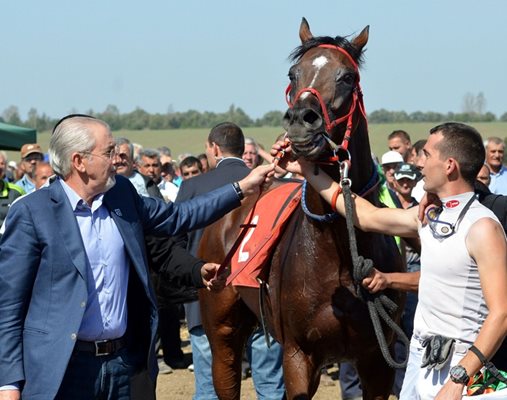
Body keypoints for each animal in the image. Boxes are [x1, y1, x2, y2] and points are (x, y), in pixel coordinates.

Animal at [198, 17, 404, 398]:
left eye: (346, 77)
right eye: (294, 73)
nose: (300, 120)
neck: (339, 254)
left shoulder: (378, 360)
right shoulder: (298, 355)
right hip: (222, 331)